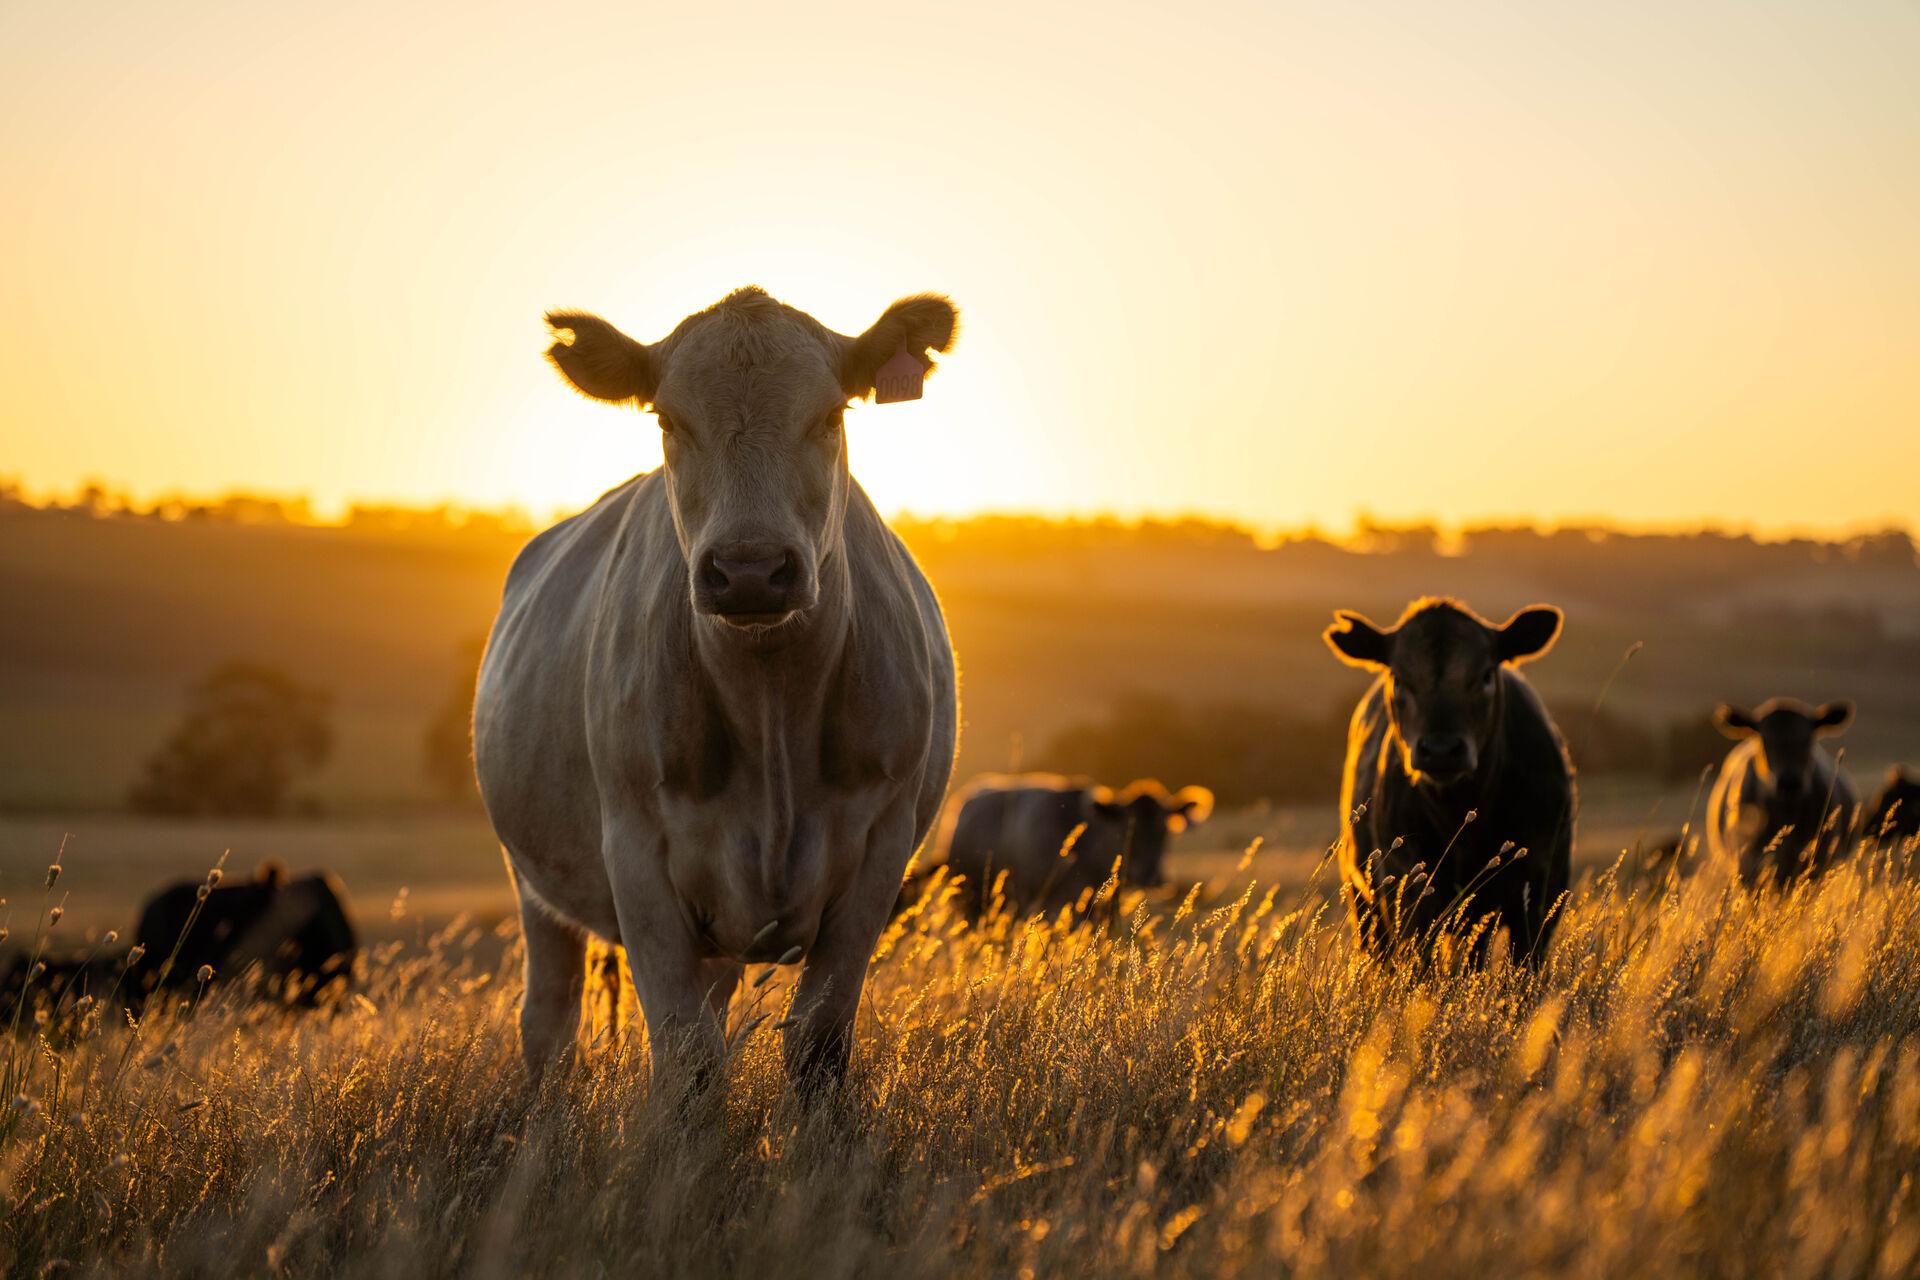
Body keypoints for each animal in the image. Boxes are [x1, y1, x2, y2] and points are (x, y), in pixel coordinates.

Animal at [474, 286, 960, 1089]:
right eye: (668, 420)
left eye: (831, 416)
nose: (750, 570)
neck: (770, 706)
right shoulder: (636, 855)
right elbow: (687, 1055)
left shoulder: (879, 851)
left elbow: (817, 1042)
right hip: (534, 882)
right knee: (549, 1020)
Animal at [1324, 598, 1575, 966]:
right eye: (1398, 678)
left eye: (1486, 675)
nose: (1441, 750)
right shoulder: (1408, 889)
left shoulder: (1541, 889)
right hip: (1364, 900)